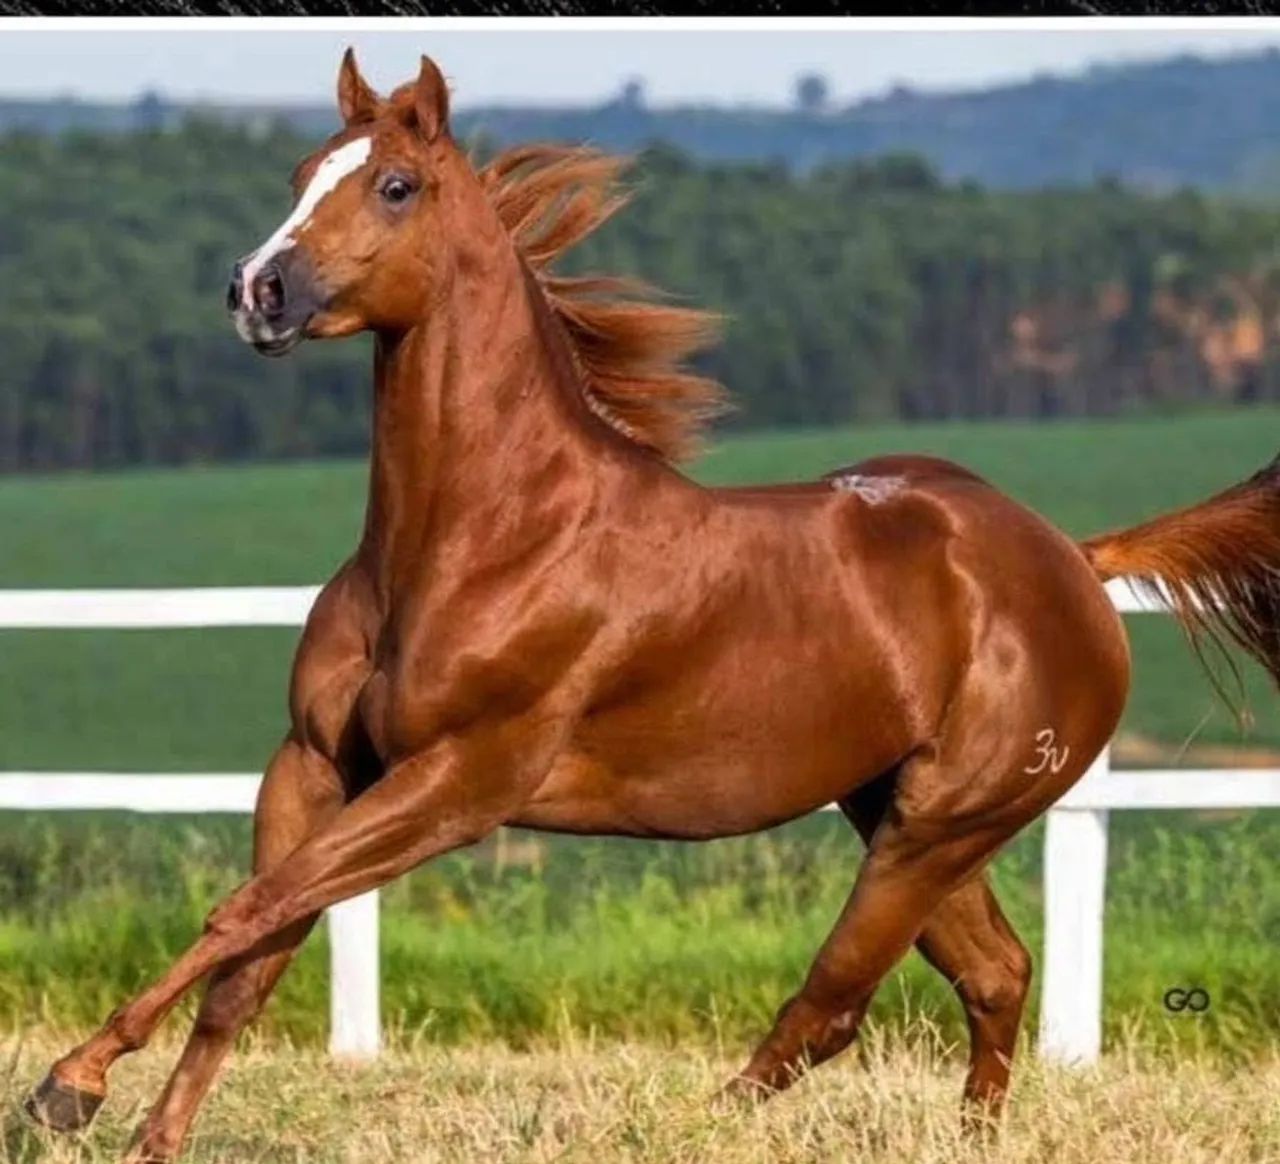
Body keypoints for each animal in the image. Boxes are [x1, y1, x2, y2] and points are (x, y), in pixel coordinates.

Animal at [28, 51, 1280, 1163]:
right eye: (300, 170)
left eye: (393, 185)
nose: (257, 292)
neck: (481, 536)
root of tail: (1070, 556)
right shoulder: (315, 765)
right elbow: (250, 956)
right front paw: (144, 1136)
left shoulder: (460, 782)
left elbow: (246, 912)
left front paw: (67, 1086)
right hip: (892, 808)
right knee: (992, 974)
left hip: (942, 823)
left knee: (829, 1004)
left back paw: (682, 1129)